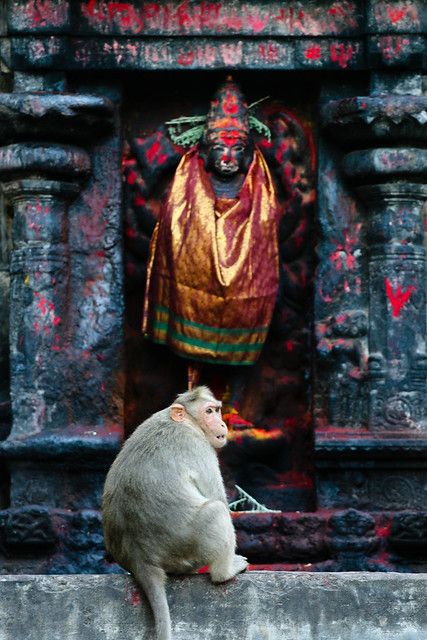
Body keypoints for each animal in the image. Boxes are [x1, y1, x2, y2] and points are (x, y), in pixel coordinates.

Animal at [102, 384, 249, 640]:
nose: (222, 424)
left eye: (217, 410)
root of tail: (140, 559)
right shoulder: (199, 447)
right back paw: (225, 571)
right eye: (209, 411)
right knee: (215, 511)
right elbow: (217, 497)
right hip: (186, 551)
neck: (186, 421)